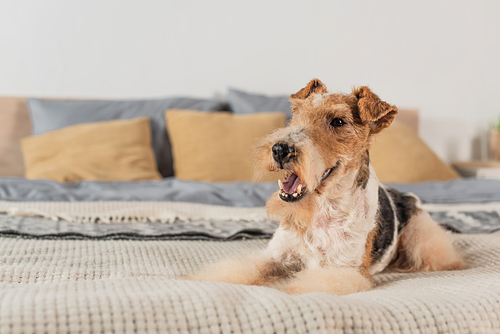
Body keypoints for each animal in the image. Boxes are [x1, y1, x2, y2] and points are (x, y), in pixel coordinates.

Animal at [188, 79, 464, 294]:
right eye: (296, 112)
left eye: (338, 122)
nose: (280, 149)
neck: (322, 209)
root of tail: (404, 195)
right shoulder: (274, 256)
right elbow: (234, 270)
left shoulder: (343, 269)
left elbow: (301, 287)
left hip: (423, 238)